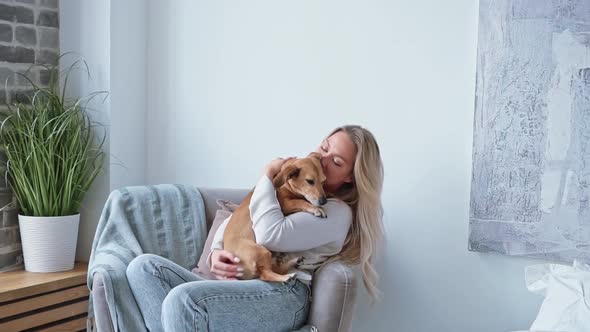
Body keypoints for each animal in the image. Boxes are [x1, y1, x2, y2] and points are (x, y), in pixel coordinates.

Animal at [224, 152, 330, 282]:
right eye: (310, 181)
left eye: (323, 181)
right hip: (260, 251)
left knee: (275, 269)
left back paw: (293, 263)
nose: (324, 201)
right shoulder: (285, 204)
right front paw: (316, 209)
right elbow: (300, 202)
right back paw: (286, 277)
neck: (287, 183)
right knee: (265, 274)